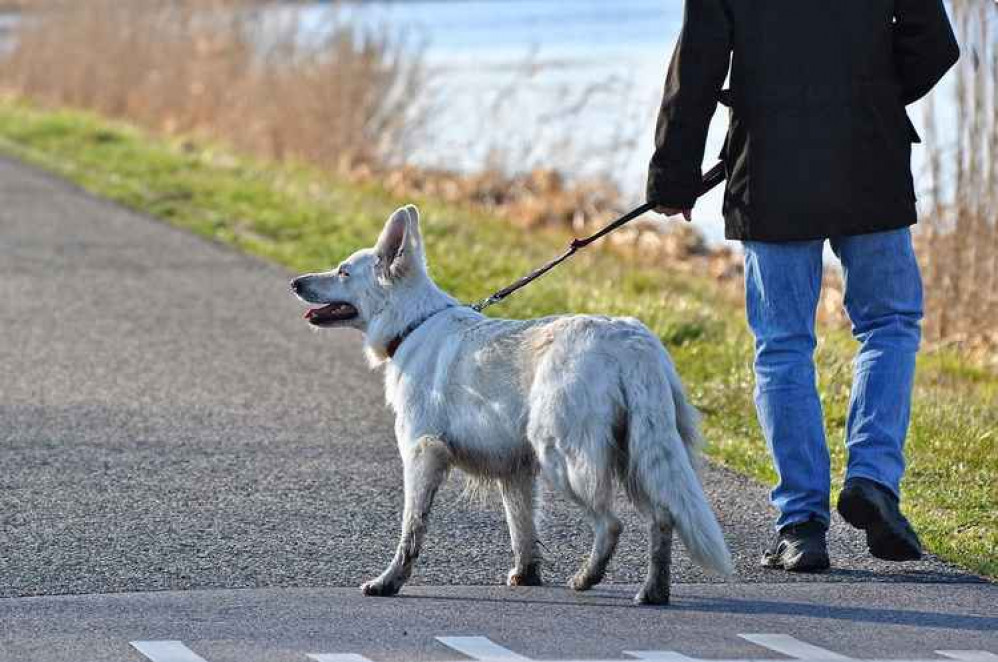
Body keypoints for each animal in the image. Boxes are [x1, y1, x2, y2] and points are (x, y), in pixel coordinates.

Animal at [290, 208, 736, 608]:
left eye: (343, 272)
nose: (295, 282)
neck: (413, 323)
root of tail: (632, 341)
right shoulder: (515, 471)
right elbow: (522, 529)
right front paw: (527, 575)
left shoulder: (422, 454)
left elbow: (411, 529)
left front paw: (389, 582)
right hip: (638, 457)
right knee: (662, 518)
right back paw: (653, 591)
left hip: (563, 457)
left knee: (612, 523)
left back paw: (587, 577)